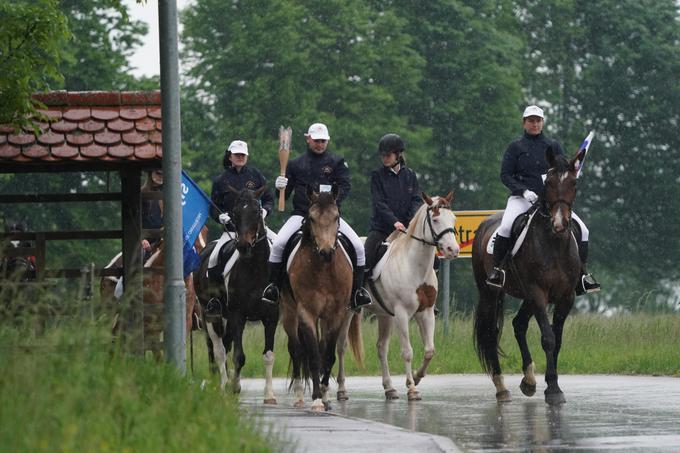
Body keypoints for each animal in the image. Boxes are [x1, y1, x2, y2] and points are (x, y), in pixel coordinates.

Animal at [191, 187, 278, 402]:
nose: (244, 246)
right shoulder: (238, 315)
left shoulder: (271, 316)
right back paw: (221, 385)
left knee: (225, 345)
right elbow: (239, 356)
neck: (255, 268)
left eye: (257, 211)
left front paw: (269, 395)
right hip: (211, 315)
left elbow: (268, 355)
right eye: (235, 213)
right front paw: (235, 386)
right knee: (218, 350)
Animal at [338, 190, 460, 400]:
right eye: (435, 220)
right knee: (341, 346)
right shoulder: (402, 314)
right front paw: (411, 387)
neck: (414, 266)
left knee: (381, 347)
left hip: (384, 315)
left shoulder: (426, 312)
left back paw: (389, 388)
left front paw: (417, 377)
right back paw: (341, 389)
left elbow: (429, 350)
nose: (453, 250)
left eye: (452, 218)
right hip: (348, 312)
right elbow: (407, 352)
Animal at [472, 147, 580, 404]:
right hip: (491, 293)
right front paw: (553, 389)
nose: (560, 223)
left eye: (574, 183)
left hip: (527, 297)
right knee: (491, 333)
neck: (553, 242)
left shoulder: (566, 297)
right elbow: (548, 338)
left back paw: (529, 380)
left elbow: (557, 339)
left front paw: (552, 384)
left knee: (519, 324)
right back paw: (501, 387)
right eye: (548, 182)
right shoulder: (538, 292)